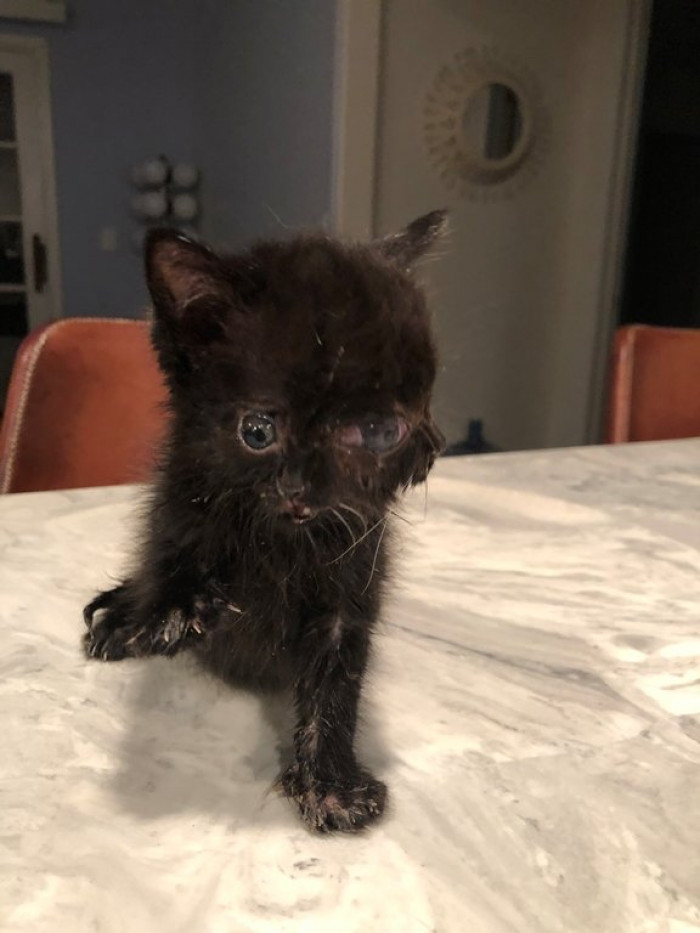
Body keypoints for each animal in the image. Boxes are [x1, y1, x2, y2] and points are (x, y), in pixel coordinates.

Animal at [82, 213, 442, 832]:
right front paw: (164, 610)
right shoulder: (177, 499)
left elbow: (336, 683)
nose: (301, 487)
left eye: (380, 432)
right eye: (257, 431)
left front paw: (330, 785)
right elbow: (171, 548)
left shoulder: (353, 588)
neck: (284, 537)